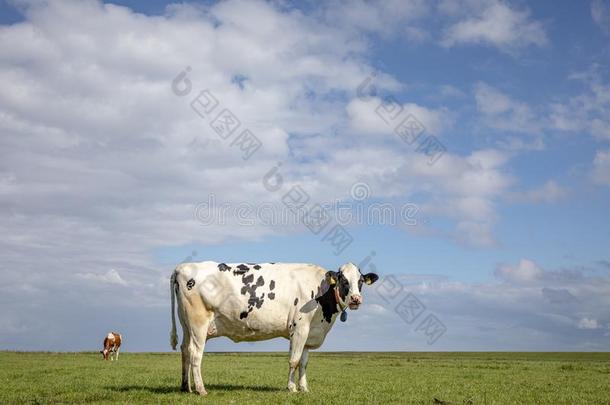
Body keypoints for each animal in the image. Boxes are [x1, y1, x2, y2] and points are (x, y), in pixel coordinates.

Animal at [167, 260, 376, 392]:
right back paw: (201, 389)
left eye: (360, 281)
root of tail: (181, 267)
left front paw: (304, 388)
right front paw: (291, 388)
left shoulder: (308, 333)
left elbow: (303, 362)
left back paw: (185, 387)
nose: (356, 299)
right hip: (198, 323)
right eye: (343, 280)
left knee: (185, 350)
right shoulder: (300, 328)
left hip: (186, 324)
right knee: (195, 353)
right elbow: (294, 361)